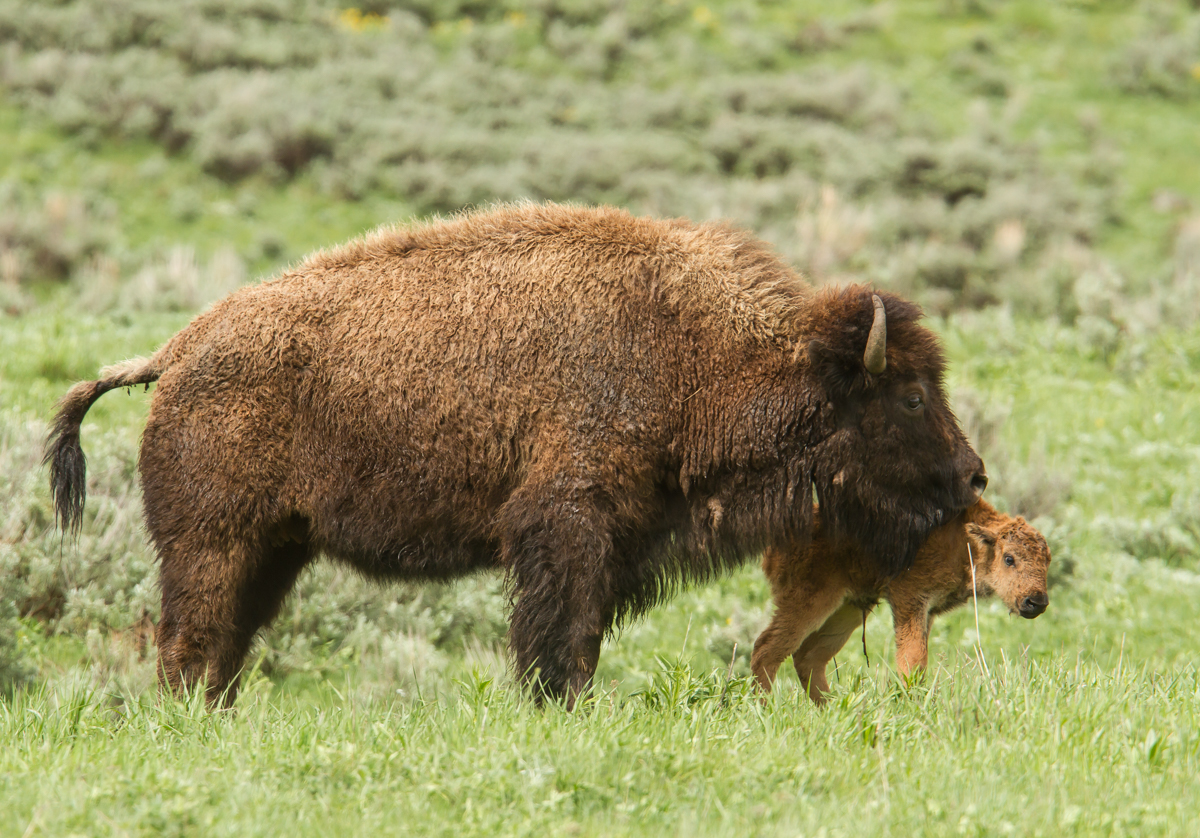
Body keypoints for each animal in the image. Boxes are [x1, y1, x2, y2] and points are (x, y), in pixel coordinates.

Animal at [45, 203, 987, 707]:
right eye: (910, 395)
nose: (971, 475)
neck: (698, 354)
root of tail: (174, 352)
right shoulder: (567, 527)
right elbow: (559, 636)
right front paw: (558, 704)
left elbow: (581, 634)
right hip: (213, 545)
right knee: (193, 641)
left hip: (274, 549)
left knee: (226, 644)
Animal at [751, 498, 1051, 704]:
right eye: (1009, 558)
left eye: (1047, 561)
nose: (1036, 602)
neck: (964, 542)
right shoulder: (910, 599)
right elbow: (913, 657)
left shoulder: (927, 611)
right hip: (811, 601)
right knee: (767, 648)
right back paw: (764, 707)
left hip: (847, 609)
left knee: (808, 656)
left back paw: (833, 707)